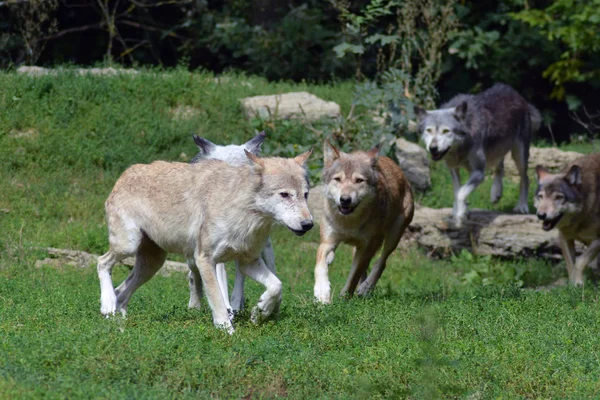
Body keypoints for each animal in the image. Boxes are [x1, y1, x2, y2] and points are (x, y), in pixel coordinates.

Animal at [312, 141, 414, 304]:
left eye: (359, 180)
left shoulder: (366, 247)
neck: (349, 223)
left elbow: (353, 277)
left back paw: (365, 288)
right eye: (337, 179)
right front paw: (322, 293)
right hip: (359, 247)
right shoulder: (327, 242)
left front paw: (344, 298)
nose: (345, 199)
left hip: (392, 237)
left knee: (381, 262)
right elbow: (320, 266)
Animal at [414, 83, 540, 227]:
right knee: (500, 167)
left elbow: (461, 193)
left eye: (446, 131)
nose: (433, 148)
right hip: (496, 153)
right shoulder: (454, 169)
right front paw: (460, 211)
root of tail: (517, 95)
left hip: (519, 155)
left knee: (525, 178)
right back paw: (496, 193)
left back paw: (522, 206)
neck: (460, 147)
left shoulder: (479, 172)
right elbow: (457, 191)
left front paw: (459, 216)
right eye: (429, 130)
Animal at [536, 152, 600, 286]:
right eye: (541, 196)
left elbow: (580, 261)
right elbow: (571, 264)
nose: (541, 215)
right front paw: (571, 285)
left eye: (558, 197)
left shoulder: (598, 240)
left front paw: (578, 284)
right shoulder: (564, 237)